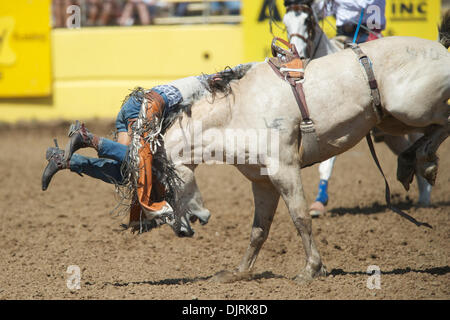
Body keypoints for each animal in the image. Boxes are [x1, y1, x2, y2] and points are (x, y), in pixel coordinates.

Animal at [284, 1, 434, 215]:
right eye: (285, 22)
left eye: (308, 20)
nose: (298, 53)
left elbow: (326, 165)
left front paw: (319, 203)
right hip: (390, 135)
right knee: (406, 150)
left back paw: (426, 197)